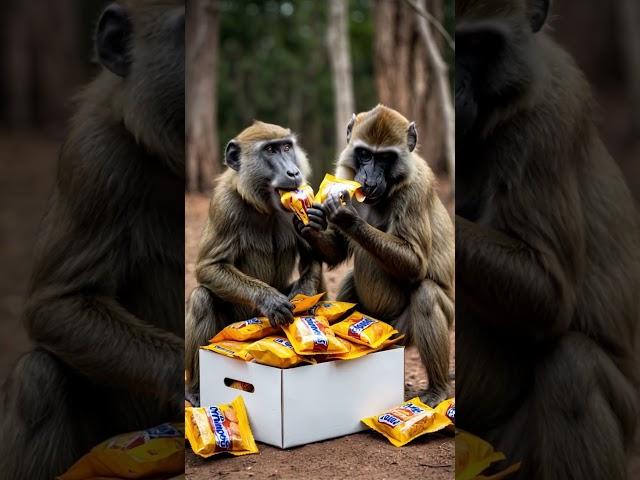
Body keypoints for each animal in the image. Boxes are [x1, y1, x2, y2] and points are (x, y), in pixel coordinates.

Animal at [186, 122, 324, 400]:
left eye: (286, 147)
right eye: (270, 150)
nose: (293, 172)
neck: (265, 206)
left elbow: (312, 258)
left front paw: (303, 299)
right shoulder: (224, 205)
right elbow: (208, 267)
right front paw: (270, 301)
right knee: (201, 299)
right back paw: (195, 390)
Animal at [296, 104, 456, 404]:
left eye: (385, 158)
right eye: (365, 154)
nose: (369, 180)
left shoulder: (416, 189)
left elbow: (416, 263)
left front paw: (347, 216)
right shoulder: (346, 172)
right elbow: (337, 253)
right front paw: (310, 221)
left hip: (402, 332)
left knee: (426, 295)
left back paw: (438, 388)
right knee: (350, 281)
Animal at [456, 1, 640, 478]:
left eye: (477, 44)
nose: (458, 88)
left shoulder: (546, 120)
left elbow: (549, 294)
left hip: (510, 453)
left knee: (572, 370)